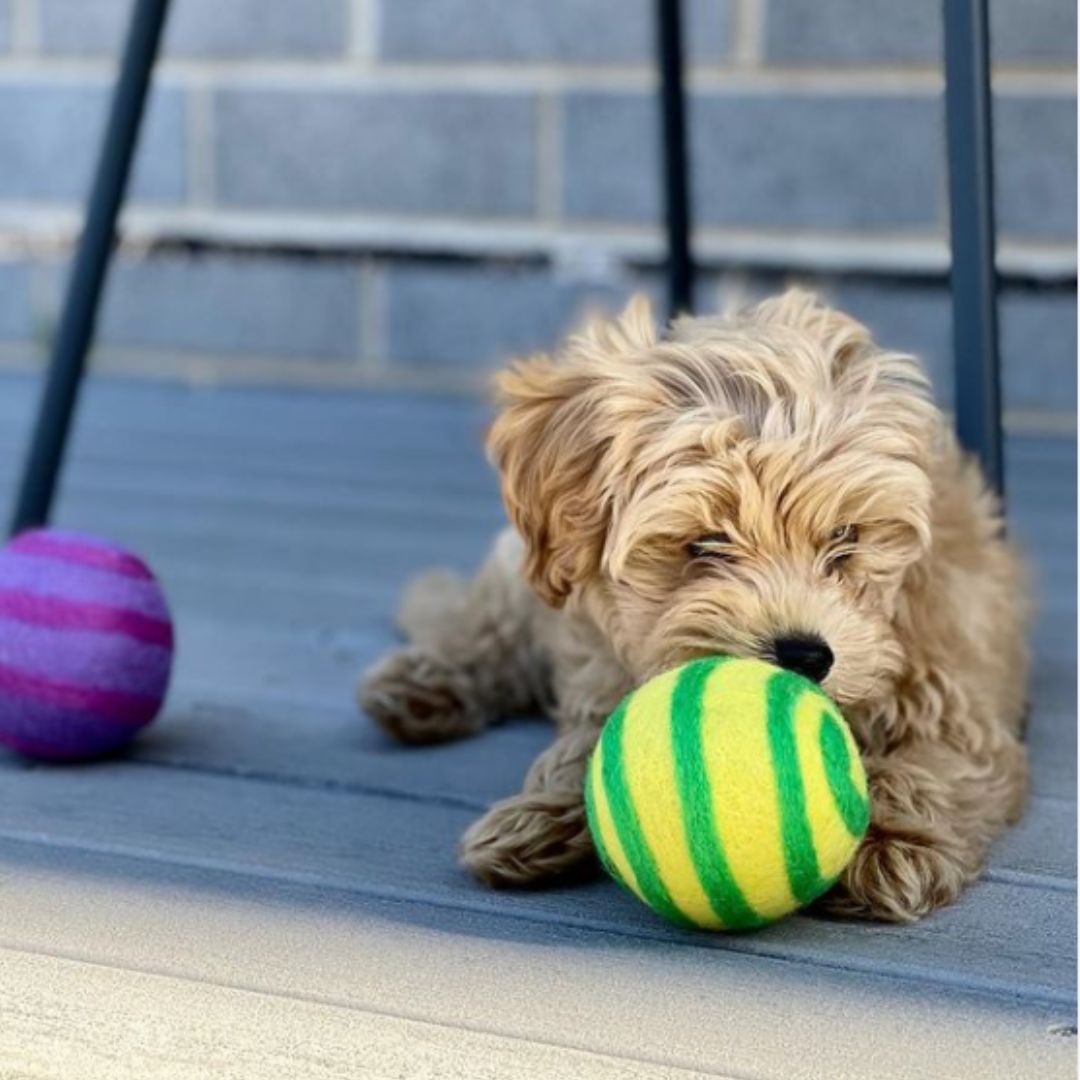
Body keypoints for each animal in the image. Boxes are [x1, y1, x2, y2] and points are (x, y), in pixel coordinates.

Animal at [358, 291, 1023, 924]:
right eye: (705, 543)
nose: (806, 655)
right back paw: (424, 681)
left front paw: (894, 840)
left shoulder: (949, 682)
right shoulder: (601, 647)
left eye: (845, 536)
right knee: (492, 619)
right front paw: (540, 810)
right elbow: (591, 730)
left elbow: (934, 761)